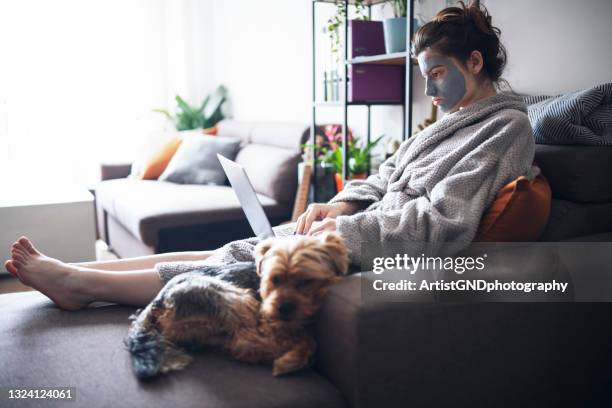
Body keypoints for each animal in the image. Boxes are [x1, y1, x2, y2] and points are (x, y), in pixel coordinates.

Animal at [124, 231, 350, 378]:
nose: (283, 309)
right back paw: (286, 359)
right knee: (245, 343)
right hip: (233, 297)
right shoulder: (267, 318)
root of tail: (157, 302)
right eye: (275, 279)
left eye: (305, 282)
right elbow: (305, 338)